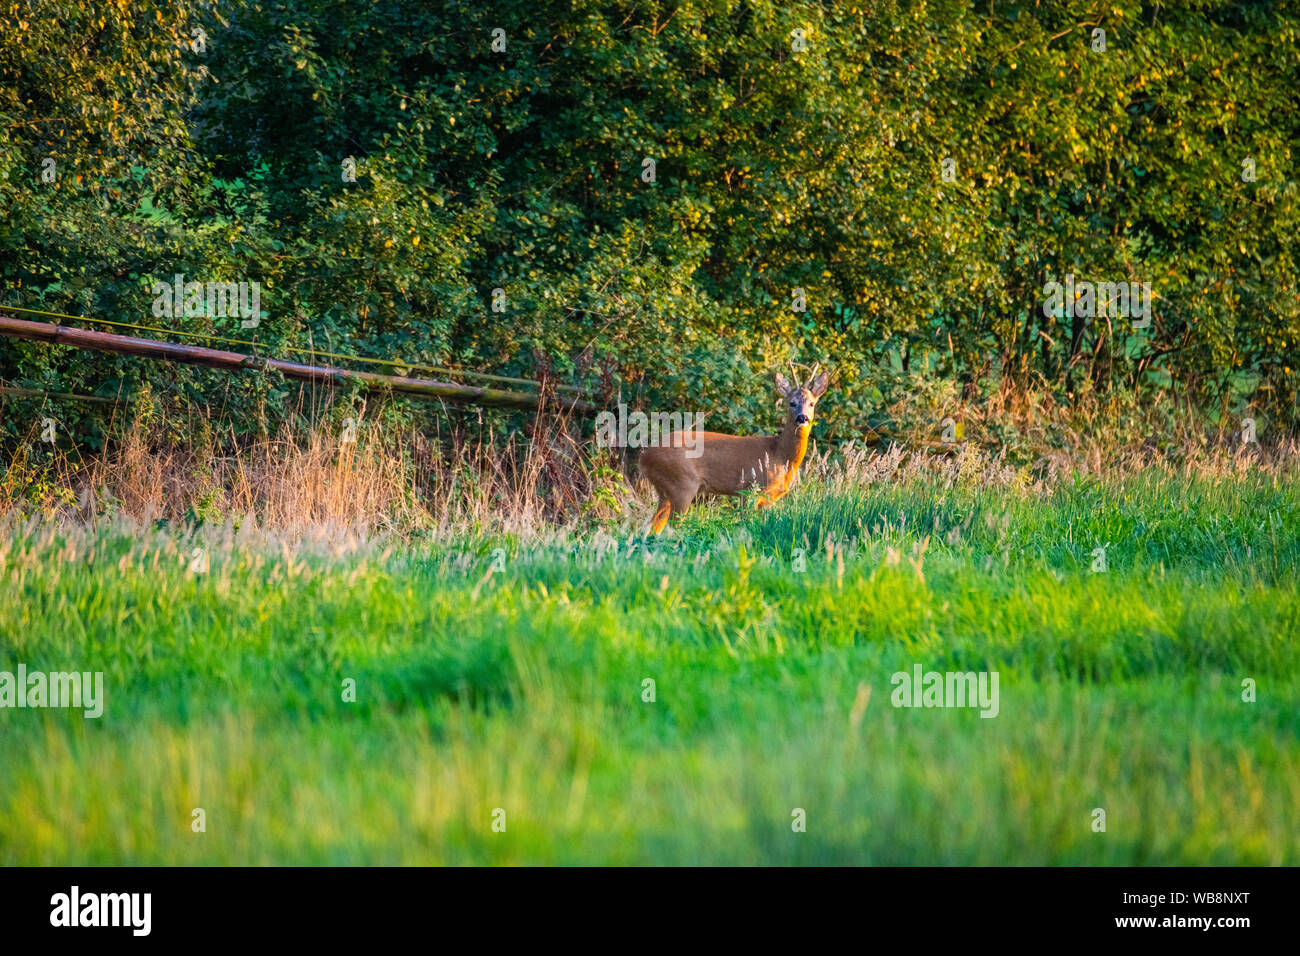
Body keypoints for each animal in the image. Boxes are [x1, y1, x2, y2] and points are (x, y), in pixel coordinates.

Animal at [639, 367, 831, 533]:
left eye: (812, 403)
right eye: (792, 403)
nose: (802, 417)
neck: (779, 455)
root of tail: (644, 457)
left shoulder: (769, 498)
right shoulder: (749, 489)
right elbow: (745, 522)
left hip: (666, 491)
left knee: (651, 527)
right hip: (682, 485)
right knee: (670, 527)